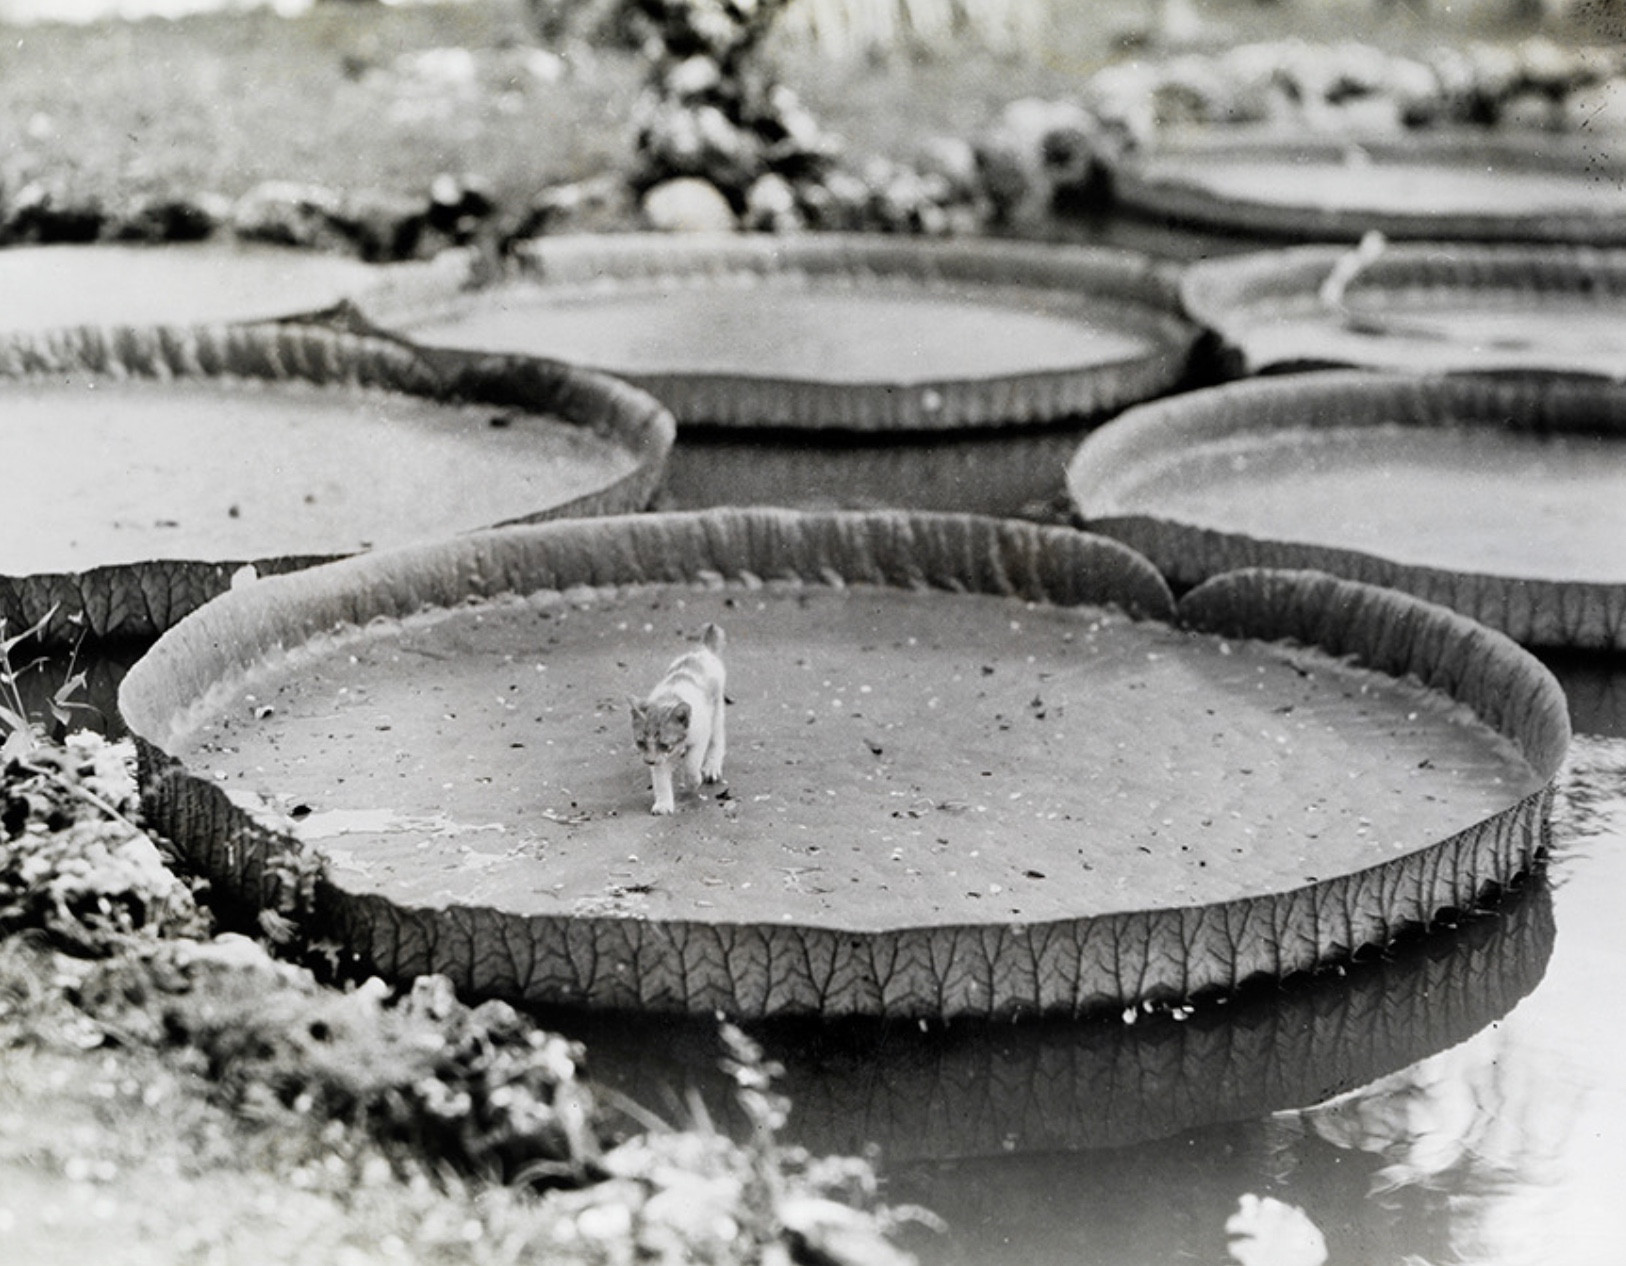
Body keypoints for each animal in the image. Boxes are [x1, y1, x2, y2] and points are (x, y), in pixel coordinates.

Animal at [627, 627, 725, 822]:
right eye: (640, 742)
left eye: (664, 744)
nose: (648, 761)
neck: (668, 698)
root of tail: (702, 650)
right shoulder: (658, 758)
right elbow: (661, 780)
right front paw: (663, 804)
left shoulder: (699, 736)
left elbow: (691, 765)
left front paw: (693, 782)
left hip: (716, 711)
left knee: (718, 739)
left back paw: (711, 766)